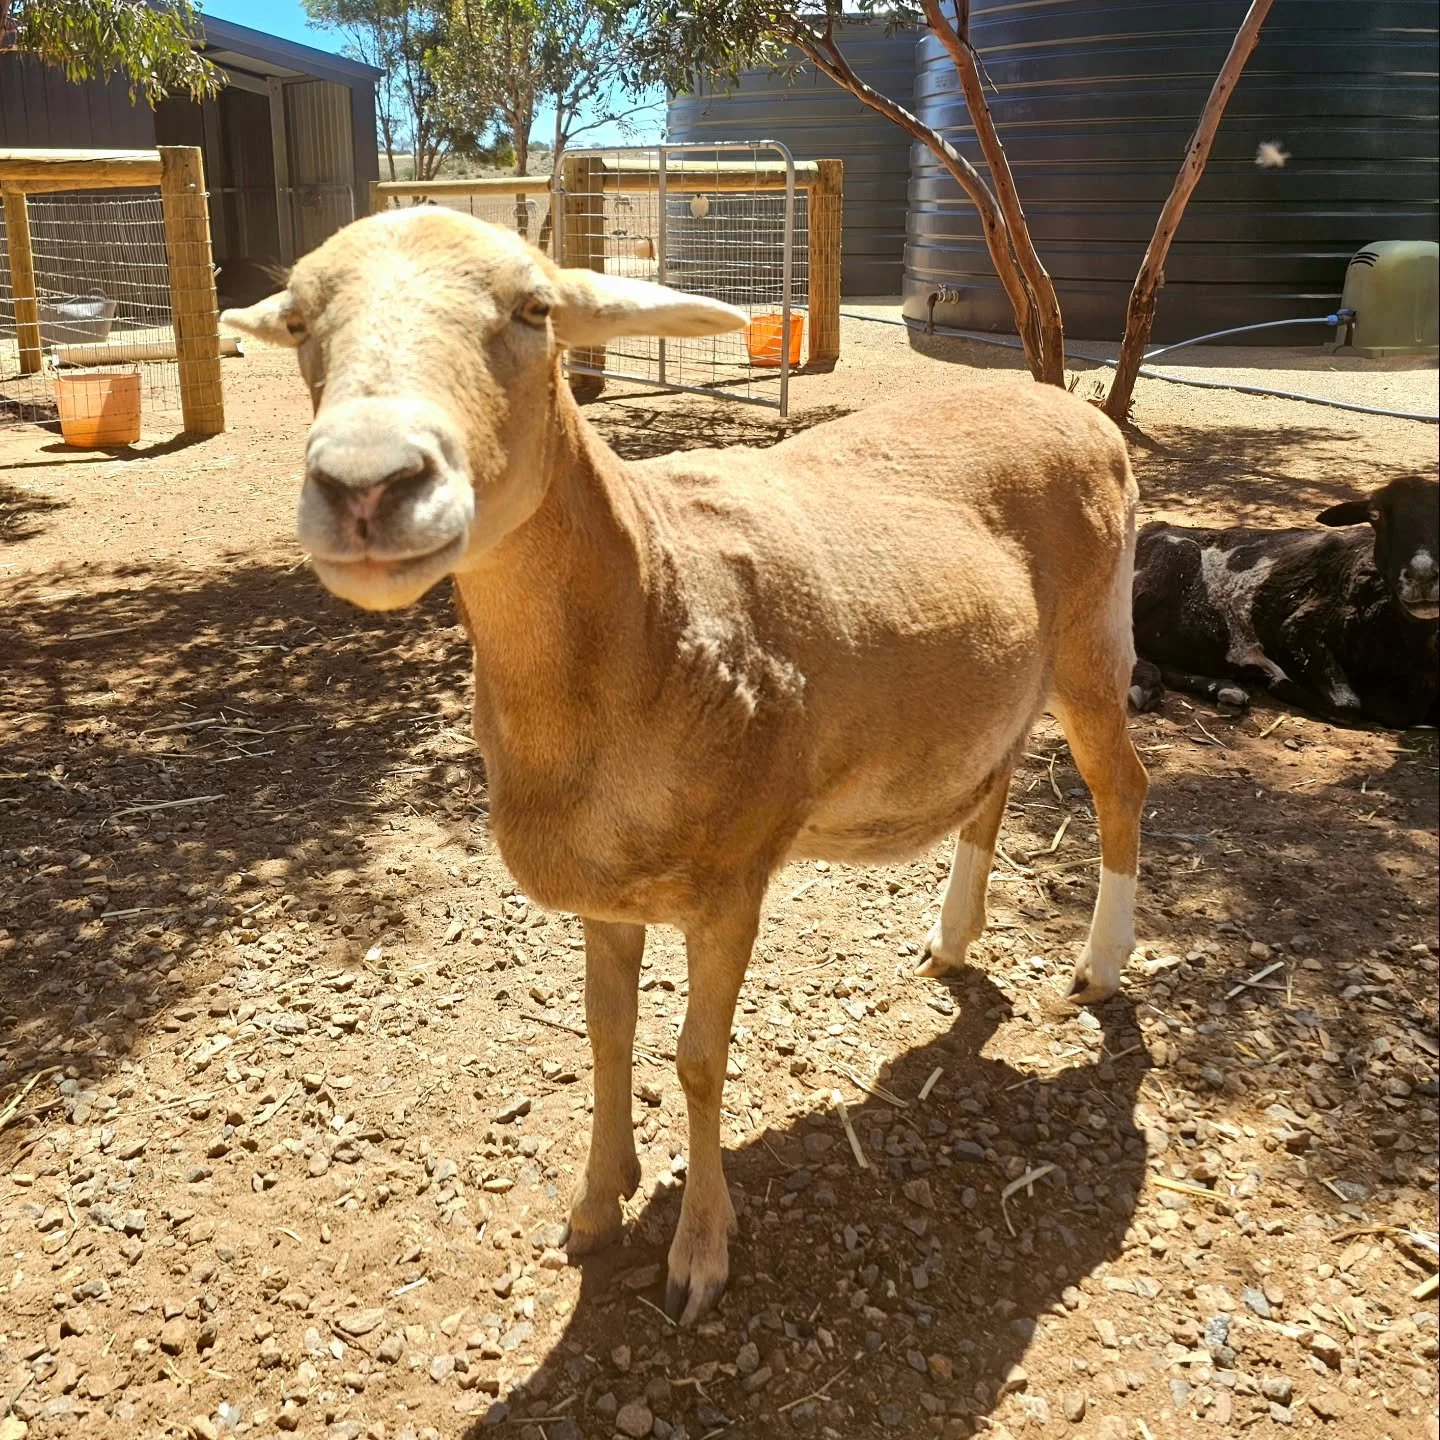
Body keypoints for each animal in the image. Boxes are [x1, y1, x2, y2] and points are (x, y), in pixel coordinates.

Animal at [222, 208, 1148, 1324]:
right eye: (301, 320)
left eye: (534, 310)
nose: (366, 485)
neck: (650, 613)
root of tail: (1074, 408)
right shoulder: (605, 891)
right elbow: (607, 1036)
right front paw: (595, 1203)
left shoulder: (732, 877)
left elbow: (699, 1061)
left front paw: (701, 1248)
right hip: (1002, 684)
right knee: (995, 783)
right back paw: (954, 938)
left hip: (1096, 644)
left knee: (1123, 792)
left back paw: (1099, 966)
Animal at [1129, 474, 1439, 728]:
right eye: (1376, 515)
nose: (1422, 576)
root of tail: (1151, 527)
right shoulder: (1298, 629)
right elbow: (1348, 706)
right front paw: (1278, 681)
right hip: (1171, 561)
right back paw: (1146, 685)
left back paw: (1223, 689)